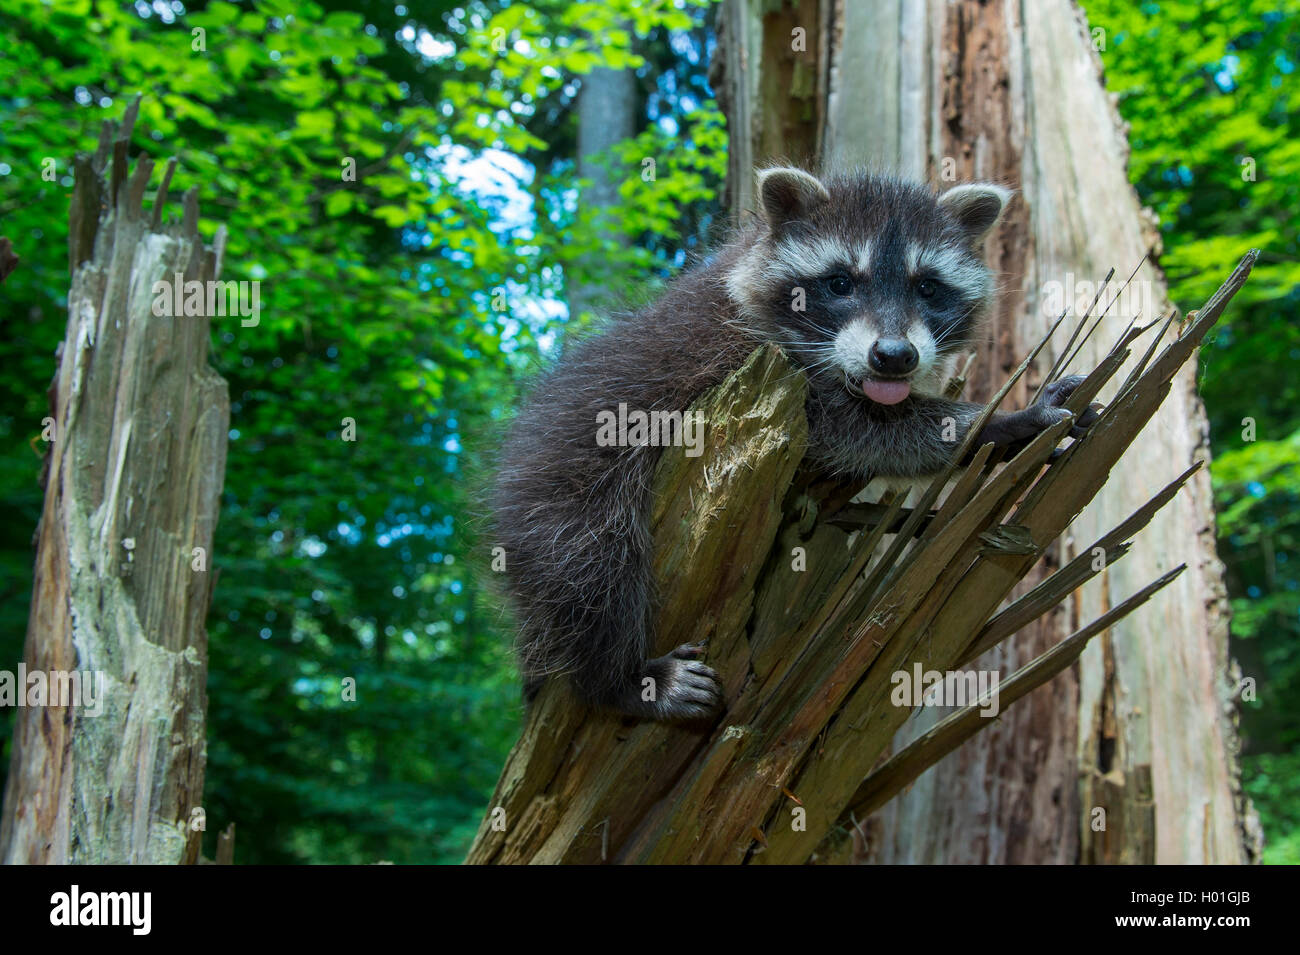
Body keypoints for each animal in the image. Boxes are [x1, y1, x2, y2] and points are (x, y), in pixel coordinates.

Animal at [491, 166, 1092, 722]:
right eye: (841, 283)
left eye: (927, 286)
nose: (894, 357)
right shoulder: (740, 354)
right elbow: (863, 430)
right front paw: (999, 421)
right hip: (562, 498)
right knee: (591, 569)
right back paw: (620, 678)